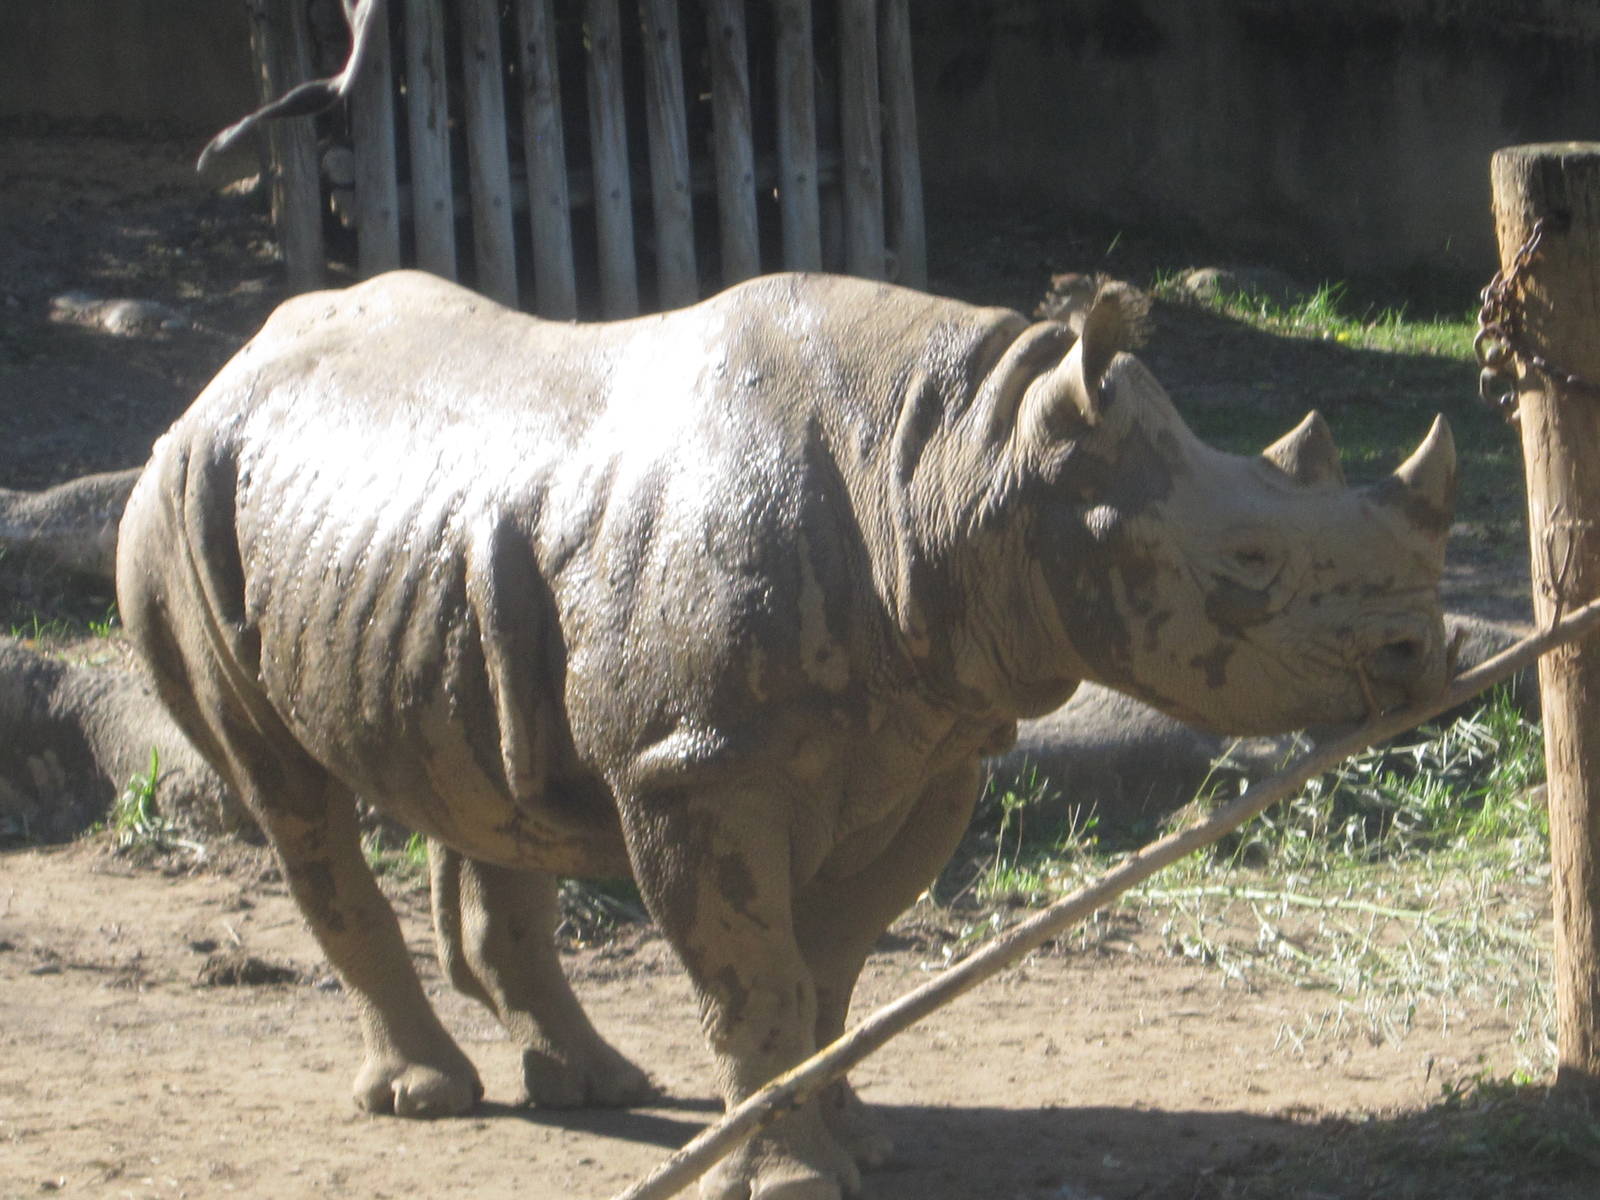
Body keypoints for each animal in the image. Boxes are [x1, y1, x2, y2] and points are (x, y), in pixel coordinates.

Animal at [117, 270, 1454, 1199]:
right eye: (1248, 563)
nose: (1418, 655)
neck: (962, 456)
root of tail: (224, 372)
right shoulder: (692, 766)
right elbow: (749, 972)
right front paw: (796, 1176)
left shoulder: (933, 745)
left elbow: (833, 960)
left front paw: (856, 1132)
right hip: (177, 499)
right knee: (286, 793)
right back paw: (428, 1099)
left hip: (433, 547)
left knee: (484, 780)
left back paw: (597, 1085)